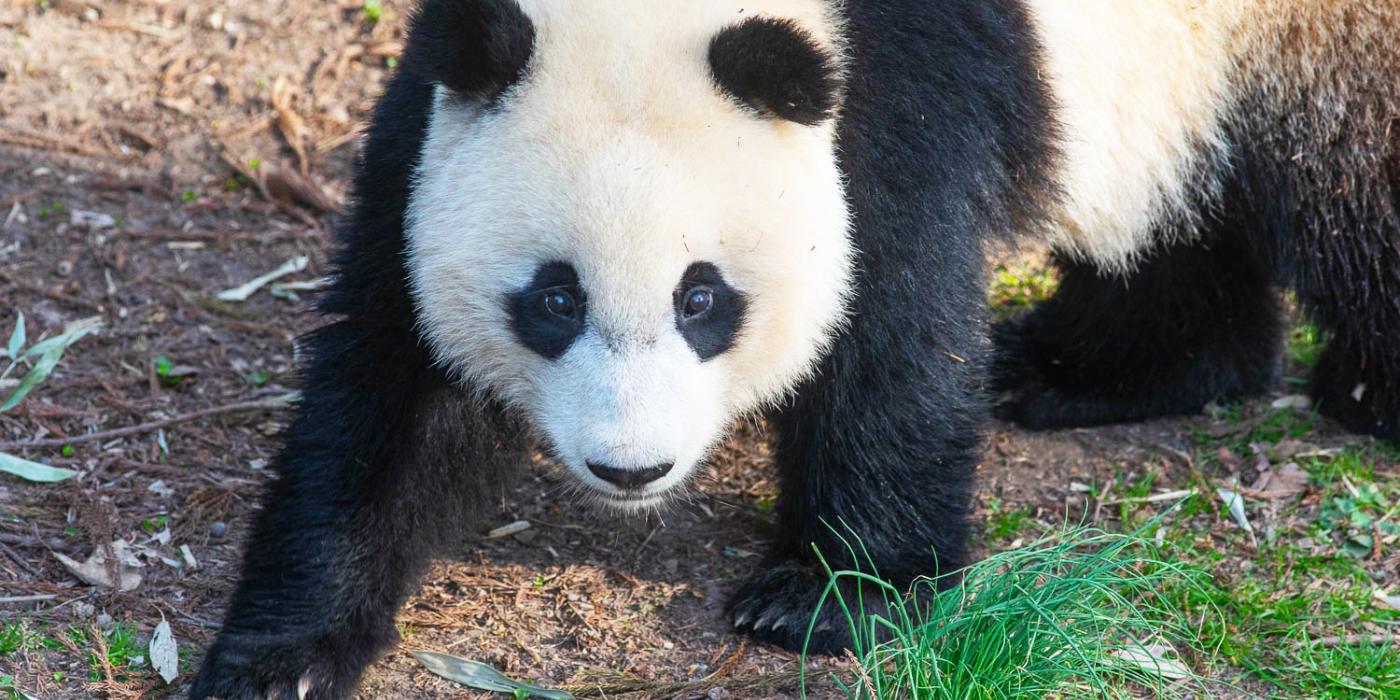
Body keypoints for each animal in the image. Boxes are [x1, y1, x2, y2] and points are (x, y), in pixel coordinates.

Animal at [189, 1, 1400, 694]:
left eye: (702, 298)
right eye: (552, 300)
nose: (630, 469)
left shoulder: (894, 87)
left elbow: (893, 332)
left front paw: (824, 597)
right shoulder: (437, 111)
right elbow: (393, 384)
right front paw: (282, 656)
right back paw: (1104, 365)